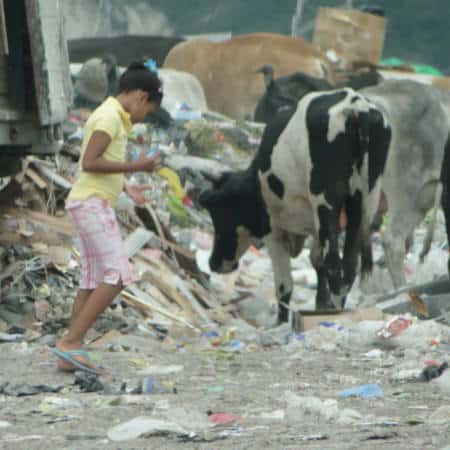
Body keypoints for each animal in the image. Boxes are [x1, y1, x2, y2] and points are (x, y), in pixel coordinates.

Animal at [201, 80, 450, 320]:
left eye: (218, 212)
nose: (214, 263)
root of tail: (356, 107)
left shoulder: (274, 229)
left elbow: (285, 284)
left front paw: (282, 320)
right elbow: (316, 260)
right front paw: (321, 303)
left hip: (354, 199)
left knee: (344, 261)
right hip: (365, 200)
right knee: (350, 264)